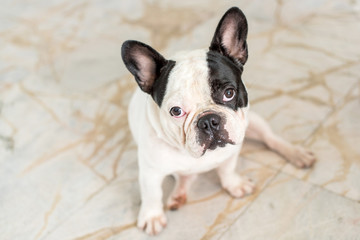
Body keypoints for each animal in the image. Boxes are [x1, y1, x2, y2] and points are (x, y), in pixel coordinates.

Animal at [121, 6, 316, 235]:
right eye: (176, 111)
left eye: (229, 93)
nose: (208, 121)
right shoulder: (150, 170)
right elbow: (151, 193)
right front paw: (152, 216)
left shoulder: (231, 151)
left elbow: (227, 169)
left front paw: (234, 184)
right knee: (183, 177)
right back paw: (178, 194)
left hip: (254, 122)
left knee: (270, 138)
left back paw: (297, 153)